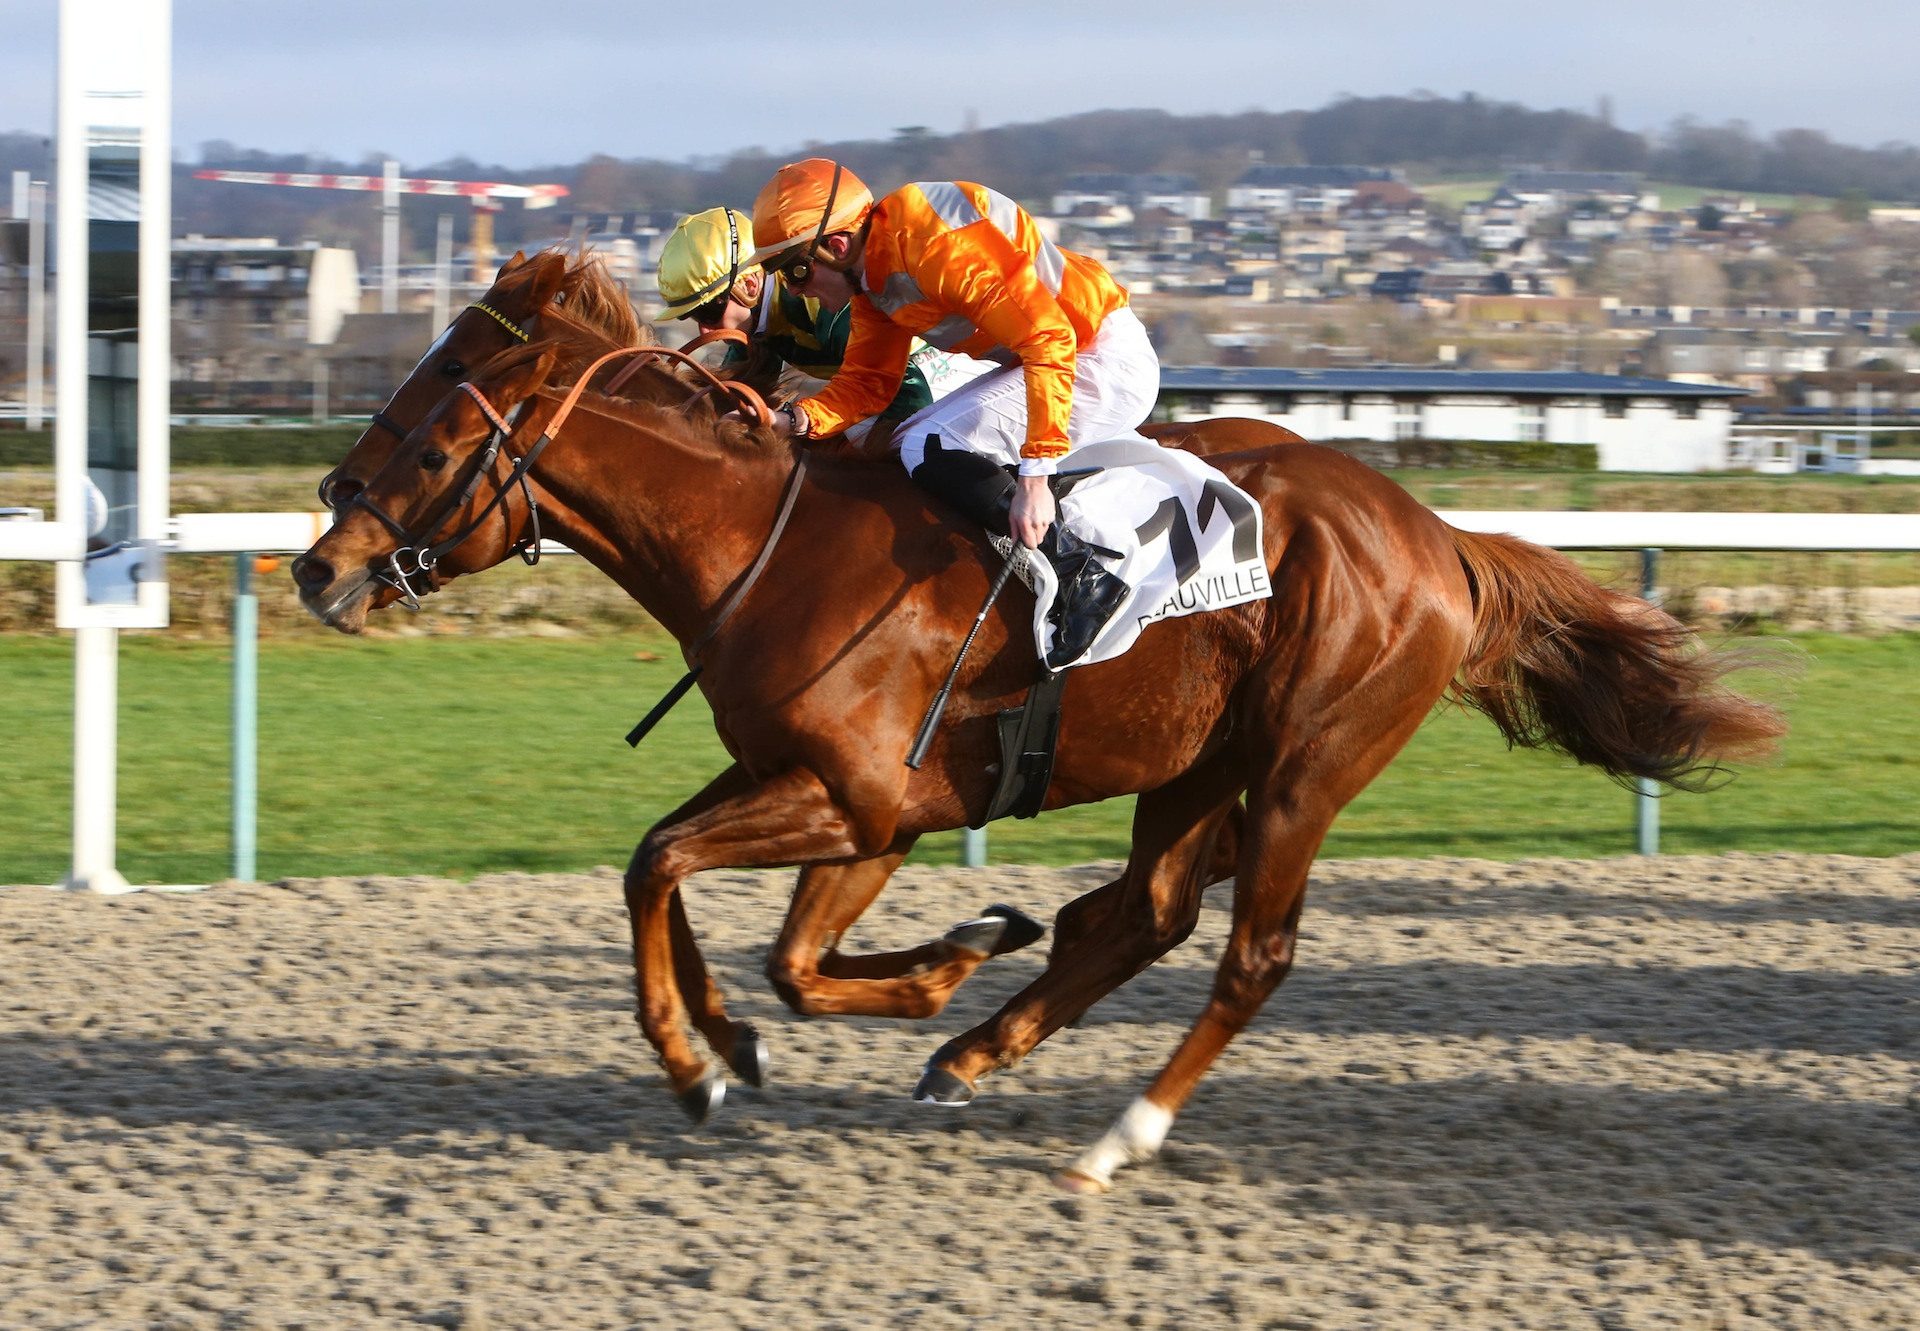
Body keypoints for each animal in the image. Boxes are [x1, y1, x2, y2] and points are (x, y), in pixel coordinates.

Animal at [288, 338, 1781, 1190]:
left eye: (433, 442)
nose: (317, 568)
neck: (766, 538)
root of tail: (1440, 538)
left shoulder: (853, 795)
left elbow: (661, 865)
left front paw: (694, 1059)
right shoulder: (861, 806)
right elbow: (763, 939)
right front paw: (864, 988)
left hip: (1308, 757)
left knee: (1250, 952)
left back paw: (1121, 1133)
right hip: (1198, 760)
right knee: (1144, 909)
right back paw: (976, 1043)